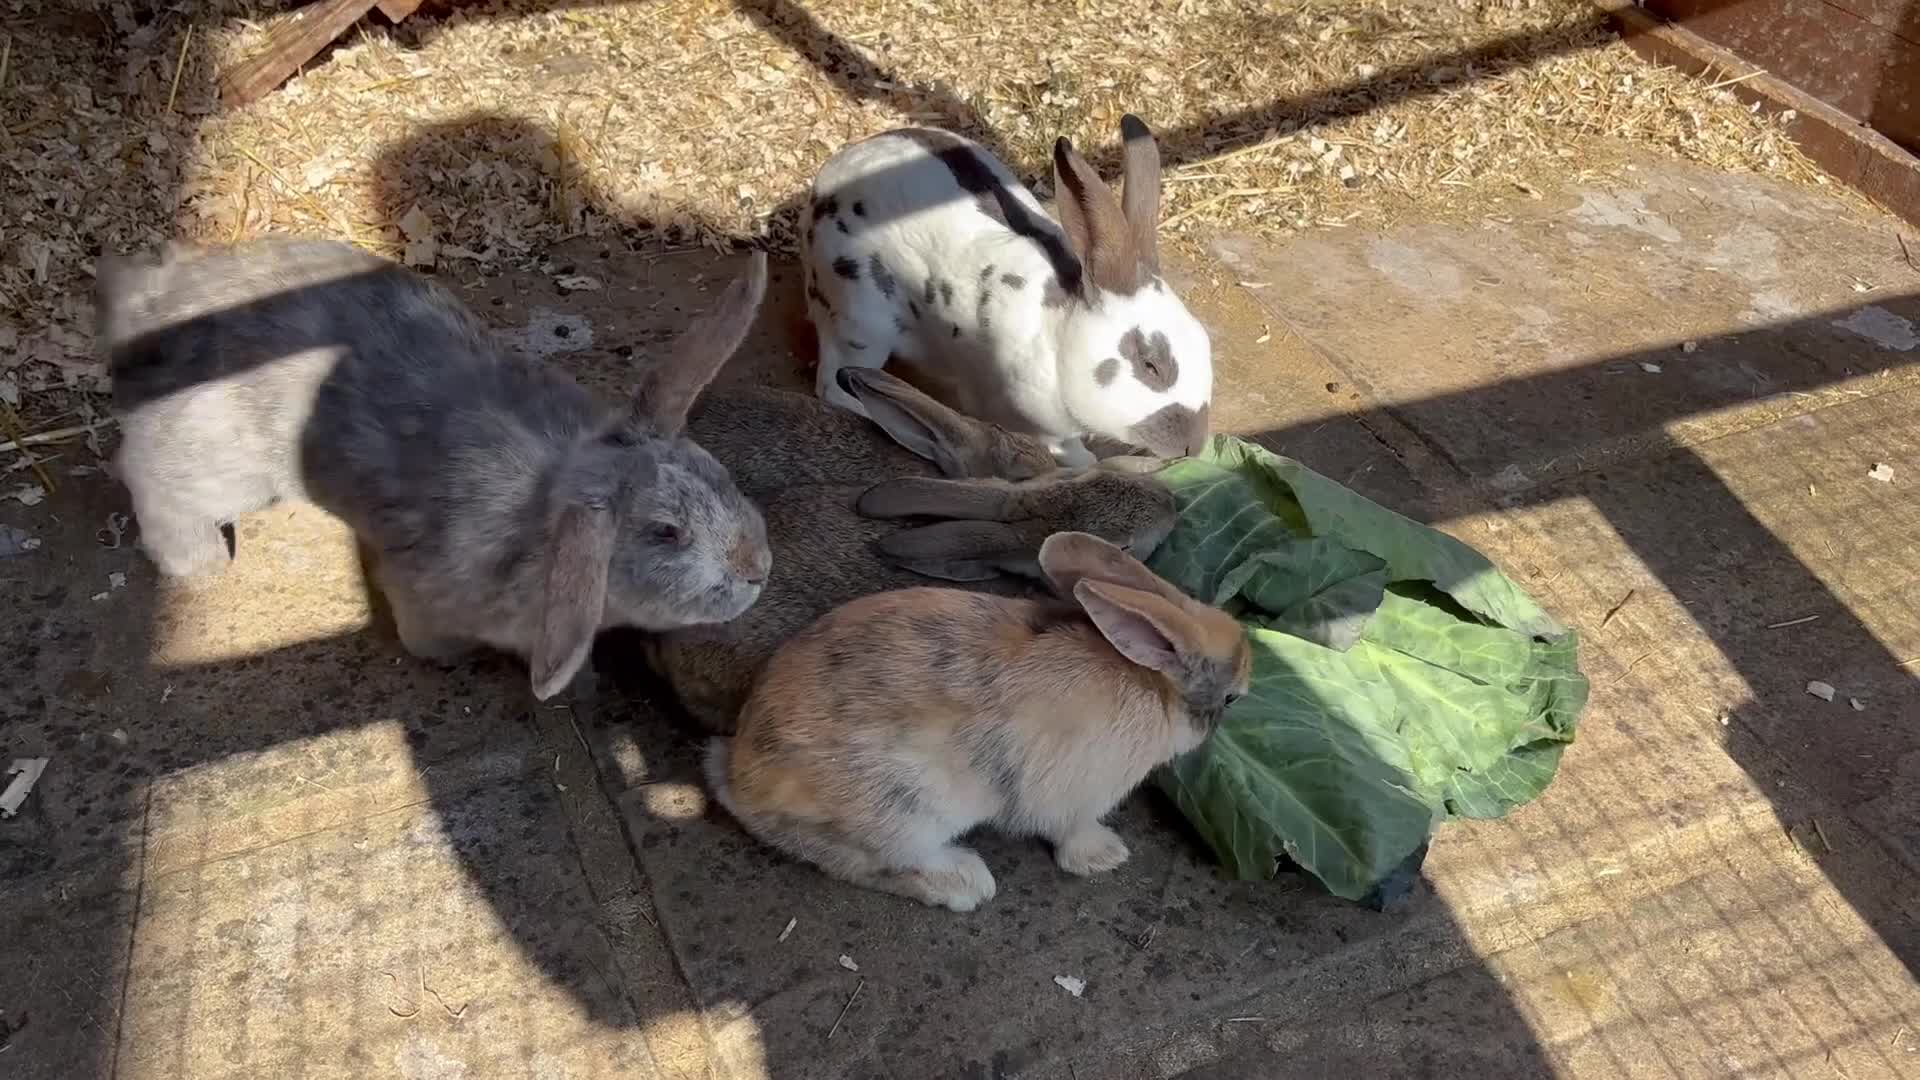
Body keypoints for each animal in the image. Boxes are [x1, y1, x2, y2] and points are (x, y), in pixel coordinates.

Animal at [98, 235, 773, 701]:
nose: (758, 569)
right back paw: (201, 564)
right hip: (215, 464)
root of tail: (151, 312)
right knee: (147, 477)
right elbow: (428, 640)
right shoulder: (422, 594)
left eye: (718, 472)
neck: (544, 513)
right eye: (667, 532)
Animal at [702, 530, 1252, 913]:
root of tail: (739, 774)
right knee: (865, 861)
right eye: (1230, 698)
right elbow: (1071, 834)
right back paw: (964, 883)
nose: (1237, 708)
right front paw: (1105, 856)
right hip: (907, 810)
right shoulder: (1075, 799)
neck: (1151, 686)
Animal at [800, 114, 1213, 467]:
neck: (1056, 340)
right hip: (859, 323)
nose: (1193, 446)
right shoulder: (1038, 428)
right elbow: (1075, 456)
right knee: (833, 385)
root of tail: (826, 181)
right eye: (1150, 365)